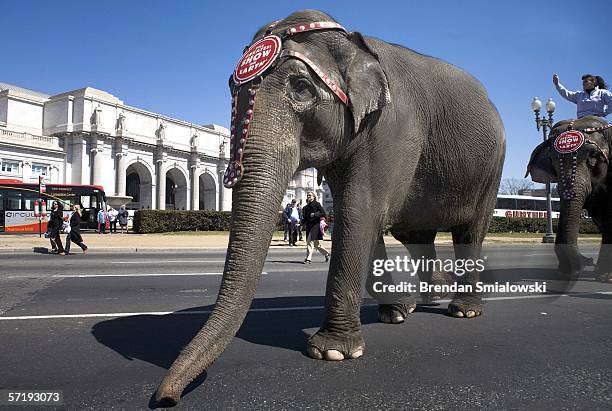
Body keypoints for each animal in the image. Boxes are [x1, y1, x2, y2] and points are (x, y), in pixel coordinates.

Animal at [155, 9, 504, 406]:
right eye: (232, 88)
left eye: (301, 88)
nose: (166, 397)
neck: (352, 43)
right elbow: (362, 218)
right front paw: (395, 312)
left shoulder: (392, 130)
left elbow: (360, 213)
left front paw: (332, 351)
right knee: (416, 235)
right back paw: (429, 297)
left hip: (491, 169)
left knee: (470, 232)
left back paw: (464, 309)